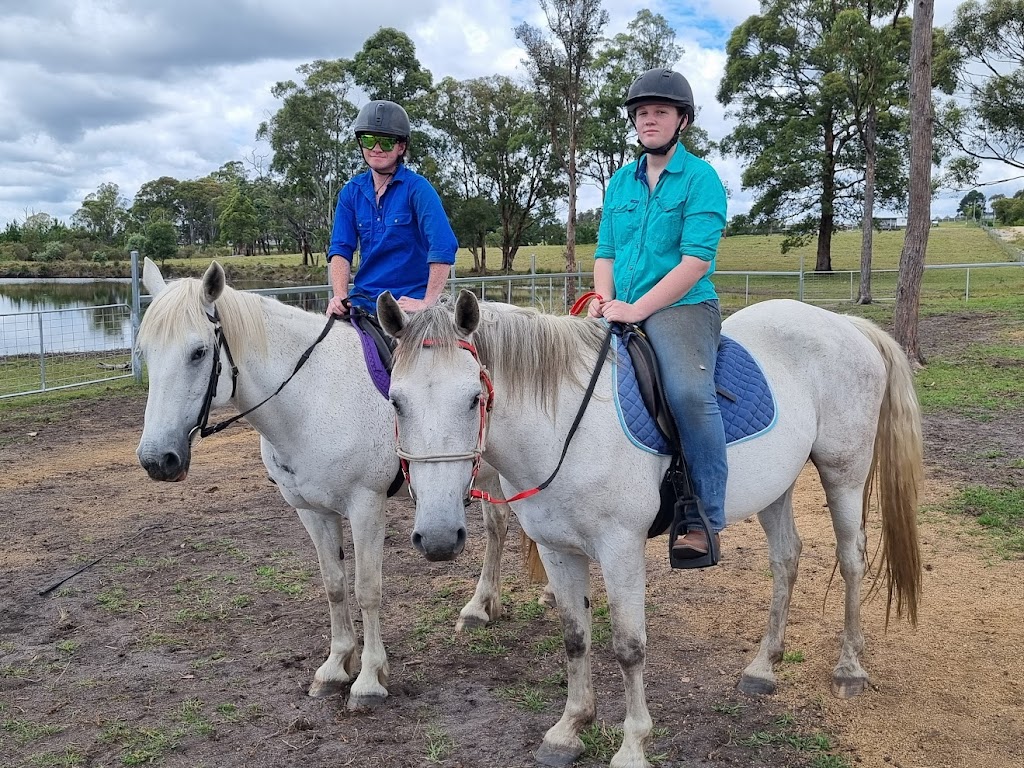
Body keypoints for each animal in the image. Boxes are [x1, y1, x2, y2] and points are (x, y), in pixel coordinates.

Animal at [134, 259, 519, 709]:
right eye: (144, 352)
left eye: (198, 352)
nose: (157, 459)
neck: (311, 399)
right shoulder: (311, 511)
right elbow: (334, 585)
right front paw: (336, 666)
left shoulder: (366, 506)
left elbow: (367, 588)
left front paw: (369, 678)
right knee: (497, 526)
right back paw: (484, 606)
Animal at [377, 290, 923, 768]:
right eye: (395, 401)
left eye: (475, 398)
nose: (439, 537)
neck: (563, 426)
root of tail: (843, 324)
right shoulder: (558, 551)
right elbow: (575, 637)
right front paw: (569, 729)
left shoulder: (621, 549)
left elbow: (628, 647)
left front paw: (632, 746)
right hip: (777, 486)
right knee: (786, 559)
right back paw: (764, 667)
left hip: (843, 472)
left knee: (851, 560)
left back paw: (849, 668)